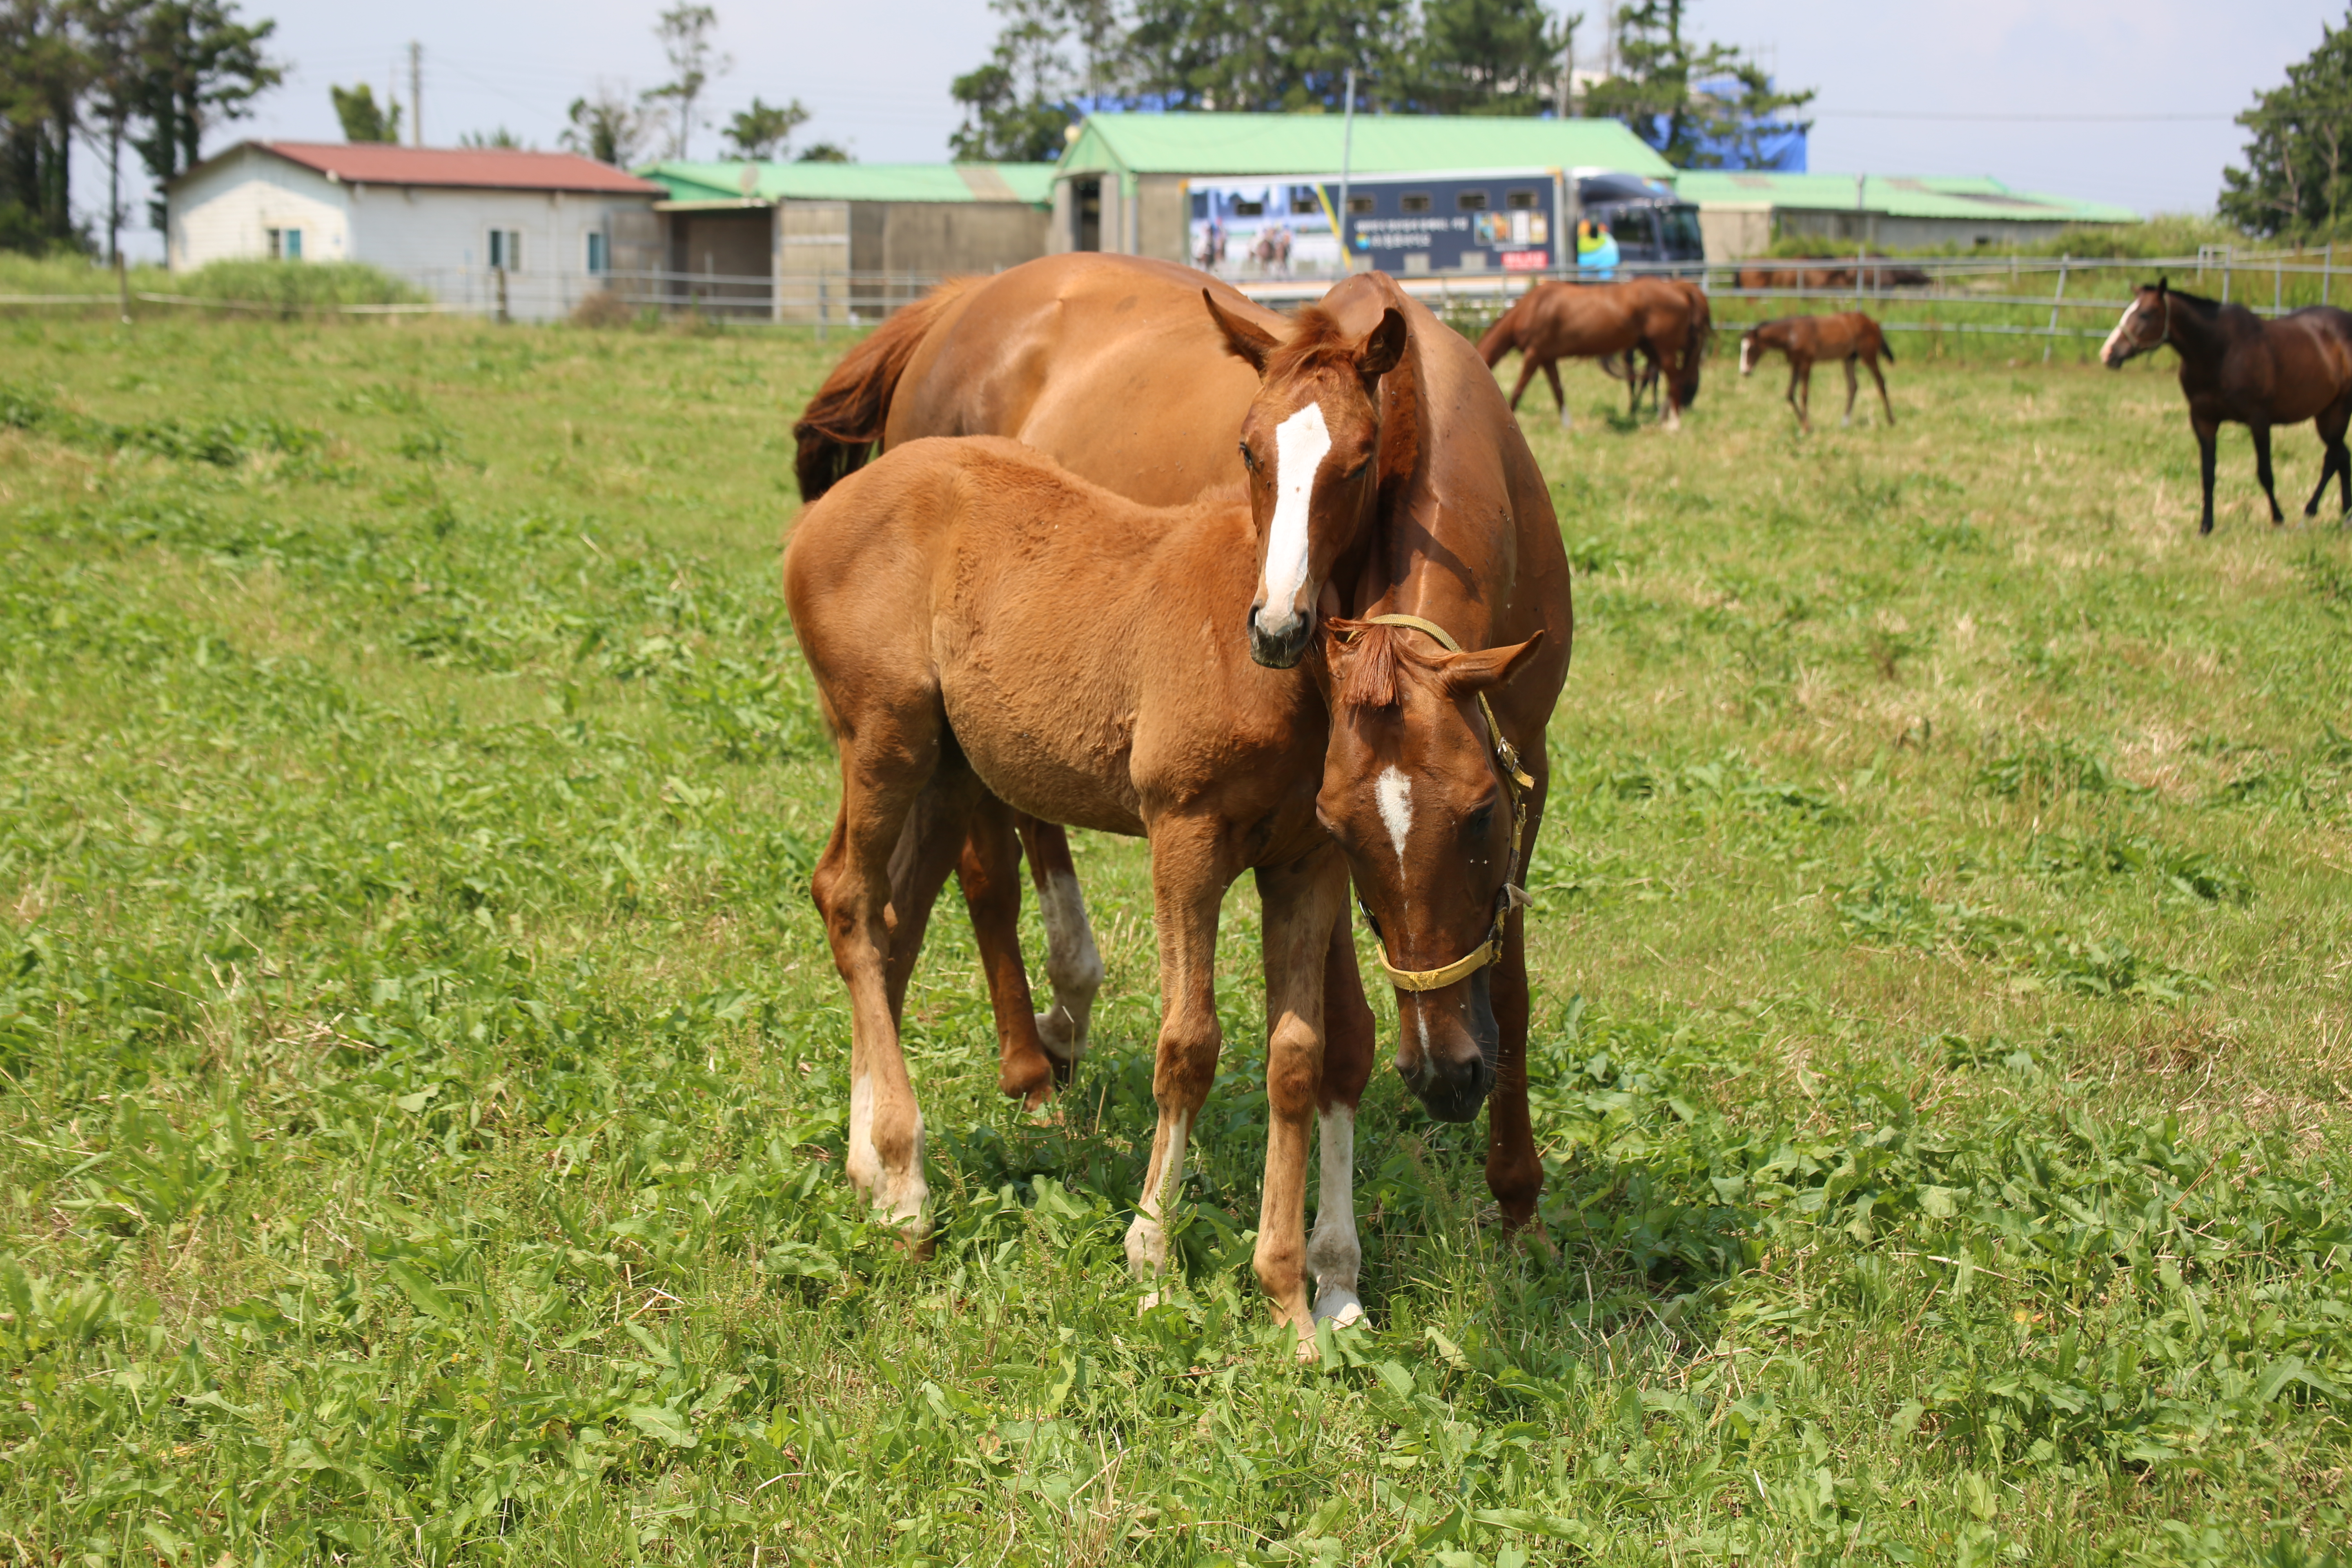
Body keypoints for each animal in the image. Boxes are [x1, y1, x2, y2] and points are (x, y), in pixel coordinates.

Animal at [781, 432, 1543, 1354]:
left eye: (1481, 809)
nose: (1454, 1074)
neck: (1283, 680)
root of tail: (821, 516)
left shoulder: (1303, 867)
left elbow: (1300, 1055)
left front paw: (1290, 1305)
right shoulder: (1186, 838)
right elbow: (1189, 1046)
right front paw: (1151, 1259)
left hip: (948, 772)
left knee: (892, 926)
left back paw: (870, 1166)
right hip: (883, 740)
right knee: (850, 902)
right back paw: (905, 1189)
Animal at [1477, 278, 1703, 430]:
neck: (1535, 307)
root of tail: (1676, 287)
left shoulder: (1535, 354)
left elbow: (1518, 390)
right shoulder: (1547, 358)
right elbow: (1558, 391)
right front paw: (1568, 425)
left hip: (1665, 349)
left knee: (1675, 380)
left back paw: (1673, 424)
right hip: (1650, 347)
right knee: (1668, 380)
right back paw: (1662, 417)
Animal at [1740, 312, 1900, 435]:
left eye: (1752, 348)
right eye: (1743, 348)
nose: (1744, 371)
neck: (1792, 334)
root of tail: (1873, 322)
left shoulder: (1806, 363)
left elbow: (1804, 395)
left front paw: (1806, 429)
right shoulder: (1795, 364)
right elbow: (1790, 394)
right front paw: (1807, 426)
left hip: (1869, 356)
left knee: (1881, 383)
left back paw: (1891, 420)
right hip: (1849, 358)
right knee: (1853, 386)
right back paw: (1845, 422)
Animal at [2098, 288, 2352, 541]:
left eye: (2145, 314)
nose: (2108, 353)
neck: (2219, 351)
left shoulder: (2259, 421)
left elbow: (2265, 473)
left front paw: (2279, 520)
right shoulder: (2204, 421)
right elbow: (2208, 475)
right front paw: (2205, 527)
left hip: (2339, 411)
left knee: (2332, 459)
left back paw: (2310, 513)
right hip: (2325, 414)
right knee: (2342, 456)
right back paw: (2345, 516)